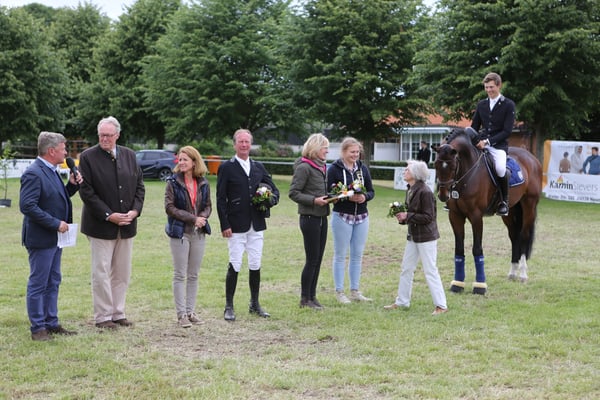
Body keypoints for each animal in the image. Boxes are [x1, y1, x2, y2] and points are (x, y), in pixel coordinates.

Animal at [434, 128, 542, 295]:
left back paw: (523, 275)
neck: (467, 173)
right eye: (435, 165)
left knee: (523, 236)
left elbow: (477, 249)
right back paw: (512, 273)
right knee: (514, 237)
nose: (443, 195)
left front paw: (480, 286)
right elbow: (459, 249)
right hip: (510, 212)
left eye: (452, 166)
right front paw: (457, 284)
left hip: (529, 205)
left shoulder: (476, 216)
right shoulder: (455, 216)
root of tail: (531, 158)